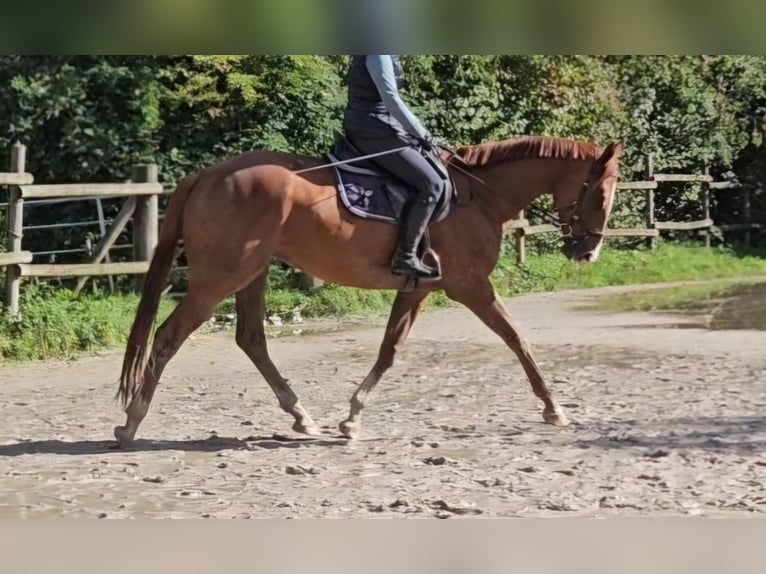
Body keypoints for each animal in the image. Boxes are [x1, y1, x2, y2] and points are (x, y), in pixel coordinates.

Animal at [117, 136, 628, 450]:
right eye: (602, 195)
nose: (588, 252)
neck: (479, 198)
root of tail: (206, 175)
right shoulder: (472, 287)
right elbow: (517, 339)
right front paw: (554, 408)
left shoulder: (418, 289)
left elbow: (389, 350)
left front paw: (353, 417)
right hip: (220, 278)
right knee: (169, 336)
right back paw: (132, 421)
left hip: (251, 274)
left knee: (251, 339)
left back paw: (301, 415)